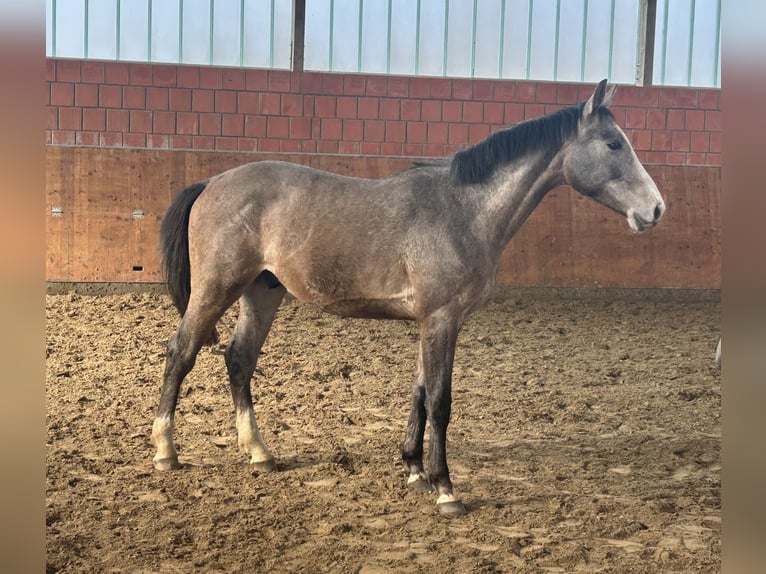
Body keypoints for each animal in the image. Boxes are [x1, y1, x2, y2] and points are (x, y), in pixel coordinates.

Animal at [151, 80, 665, 516]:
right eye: (613, 143)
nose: (656, 209)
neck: (462, 210)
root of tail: (212, 183)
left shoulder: (431, 321)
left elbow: (418, 390)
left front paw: (414, 468)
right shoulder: (442, 318)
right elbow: (439, 400)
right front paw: (445, 488)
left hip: (261, 292)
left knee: (239, 360)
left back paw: (258, 452)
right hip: (216, 288)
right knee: (181, 353)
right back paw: (165, 451)